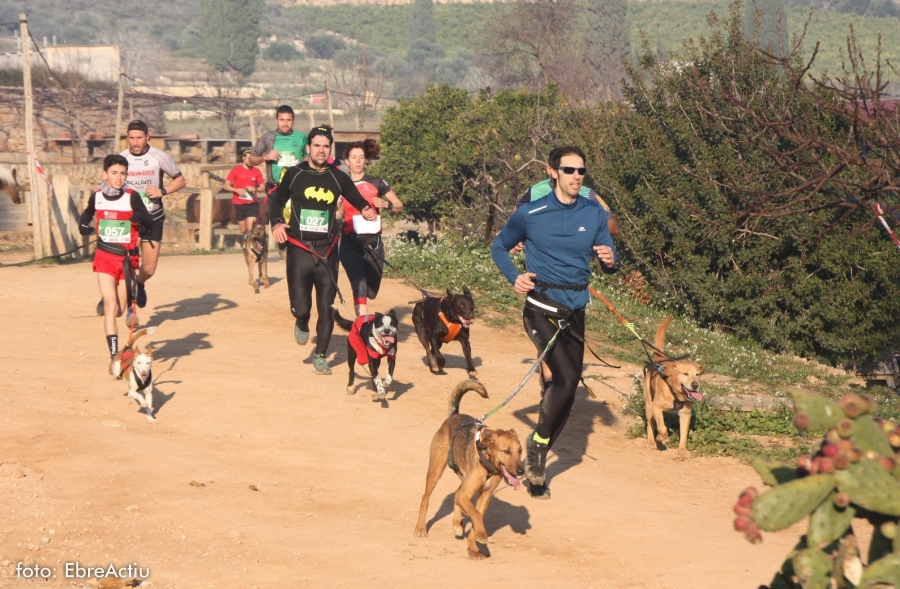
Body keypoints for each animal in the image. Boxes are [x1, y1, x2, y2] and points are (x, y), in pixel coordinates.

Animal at [416, 378, 528, 560]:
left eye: (520, 451)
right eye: (506, 451)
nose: (521, 471)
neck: (489, 465)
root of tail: (454, 415)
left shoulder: (485, 496)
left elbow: (477, 517)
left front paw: (473, 548)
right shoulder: (468, 494)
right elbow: (475, 514)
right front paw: (481, 535)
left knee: (456, 494)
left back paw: (457, 523)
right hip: (435, 470)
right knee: (426, 498)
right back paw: (420, 527)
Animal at [644, 316, 708, 454]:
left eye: (697, 374)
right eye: (685, 374)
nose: (695, 385)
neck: (676, 394)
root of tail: (659, 359)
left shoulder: (685, 414)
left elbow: (684, 436)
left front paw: (682, 451)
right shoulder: (656, 407)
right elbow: (662, 428)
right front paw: (661, 437)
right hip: (649, 406)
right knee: (650, 425)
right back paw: (651, 441)